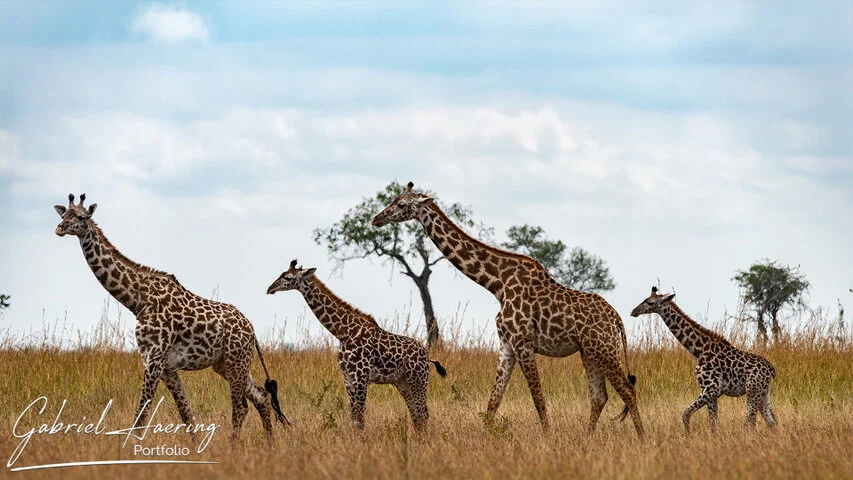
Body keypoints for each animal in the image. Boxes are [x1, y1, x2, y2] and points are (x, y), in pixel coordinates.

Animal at [54, 194, 288, 440]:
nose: (60, 228)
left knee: (242, 407)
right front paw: (196, 447)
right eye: (63, 214)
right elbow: (186, 413)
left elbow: (142, 416)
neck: (138, 301)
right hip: (224, 364)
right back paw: (270, 444)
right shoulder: (166, 367)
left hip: (237, 360)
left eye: (81, 217)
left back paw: (236, 445)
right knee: (261, 397)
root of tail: (252, 330)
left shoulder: (154, 359)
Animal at [266, 260, 447, 432]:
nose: (270, 288)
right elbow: (354, 420)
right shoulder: (348, 379)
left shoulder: (361, 377)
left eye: (288, 277)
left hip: (418, 380)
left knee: (422, 413)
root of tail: (427, 355)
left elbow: (360, 420)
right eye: (282, 274)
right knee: (416, 414)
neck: (343, 333)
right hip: (403, 383)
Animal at [371, 182, 644, 437]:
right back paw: (587, 439)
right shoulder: (507, 345)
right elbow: (494, 401)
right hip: (589, 351)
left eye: (402, 204)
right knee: (599, 396)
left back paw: (642, 437)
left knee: (627, 390)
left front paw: (548, 437)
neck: (497, 284)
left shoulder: (523, 342)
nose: (377, 219)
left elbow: (537, 397)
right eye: (394, 199)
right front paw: (486, 437)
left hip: (604, 348)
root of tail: (616, 319)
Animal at [630, 287, 778, 433]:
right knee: (771, 421)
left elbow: (686, 414)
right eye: (645, 299)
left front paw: (688, 436)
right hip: (763, 392)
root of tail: (770, 369)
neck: (699, 350)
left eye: (649, 302)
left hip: (752, 391)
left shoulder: (711, 389)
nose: (633, 311)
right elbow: (712, 423)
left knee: (750, 422)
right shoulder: (711, 394)